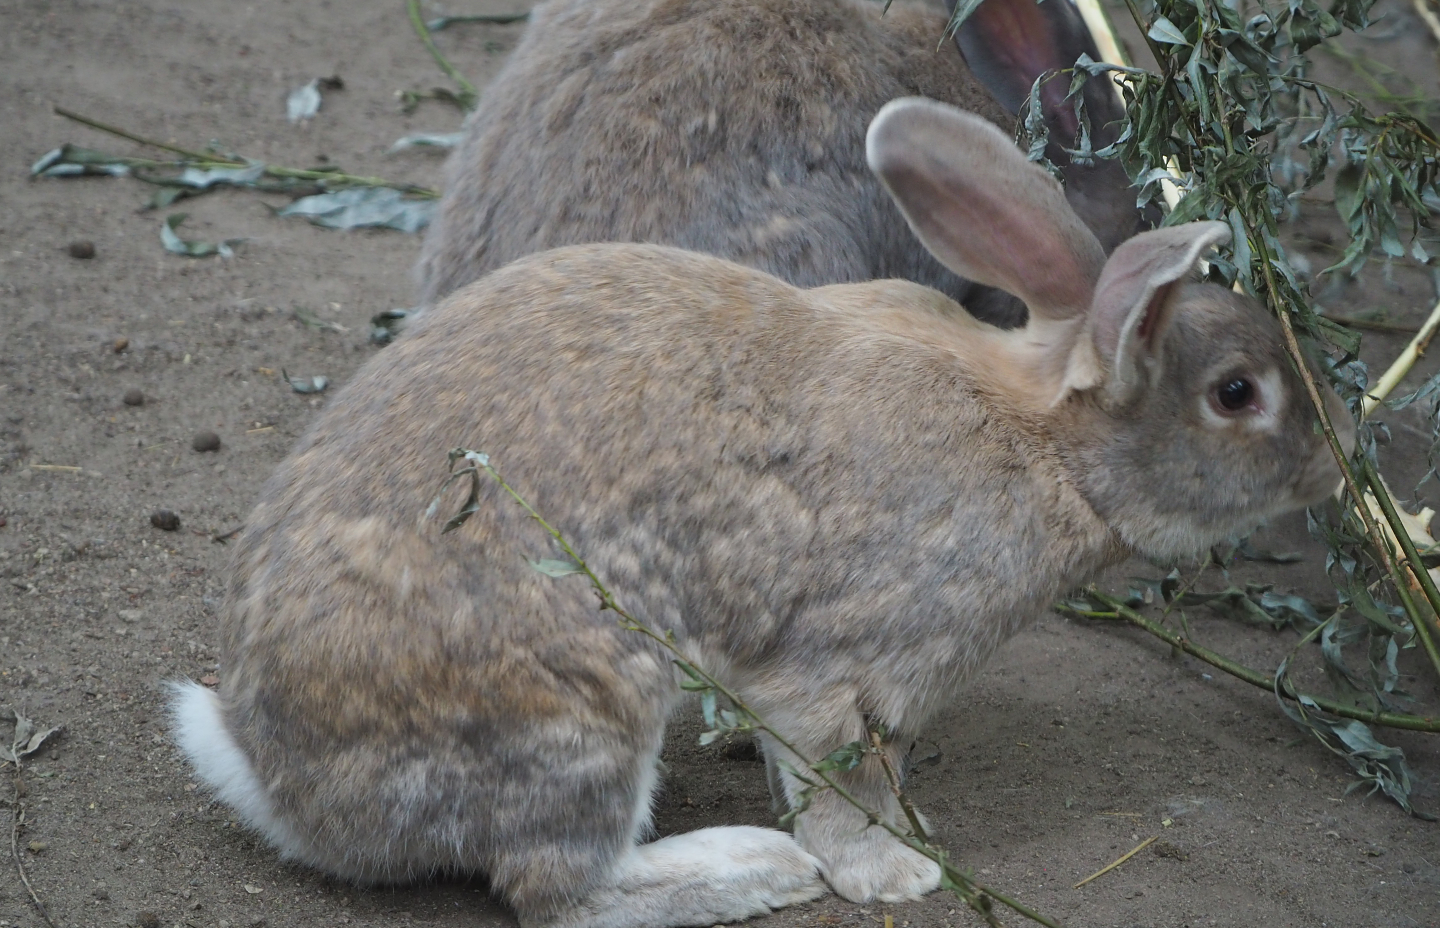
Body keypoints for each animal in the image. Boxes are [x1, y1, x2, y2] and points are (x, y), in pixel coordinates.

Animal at [172, 98, 1352, 928]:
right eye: (1237, 394)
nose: (1331, 469)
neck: (1046, 440)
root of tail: (281, 784)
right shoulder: (846, 668)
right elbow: (844, 782)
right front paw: (896, 870)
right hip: (580, 706)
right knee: (559, 888)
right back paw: (754, 869)